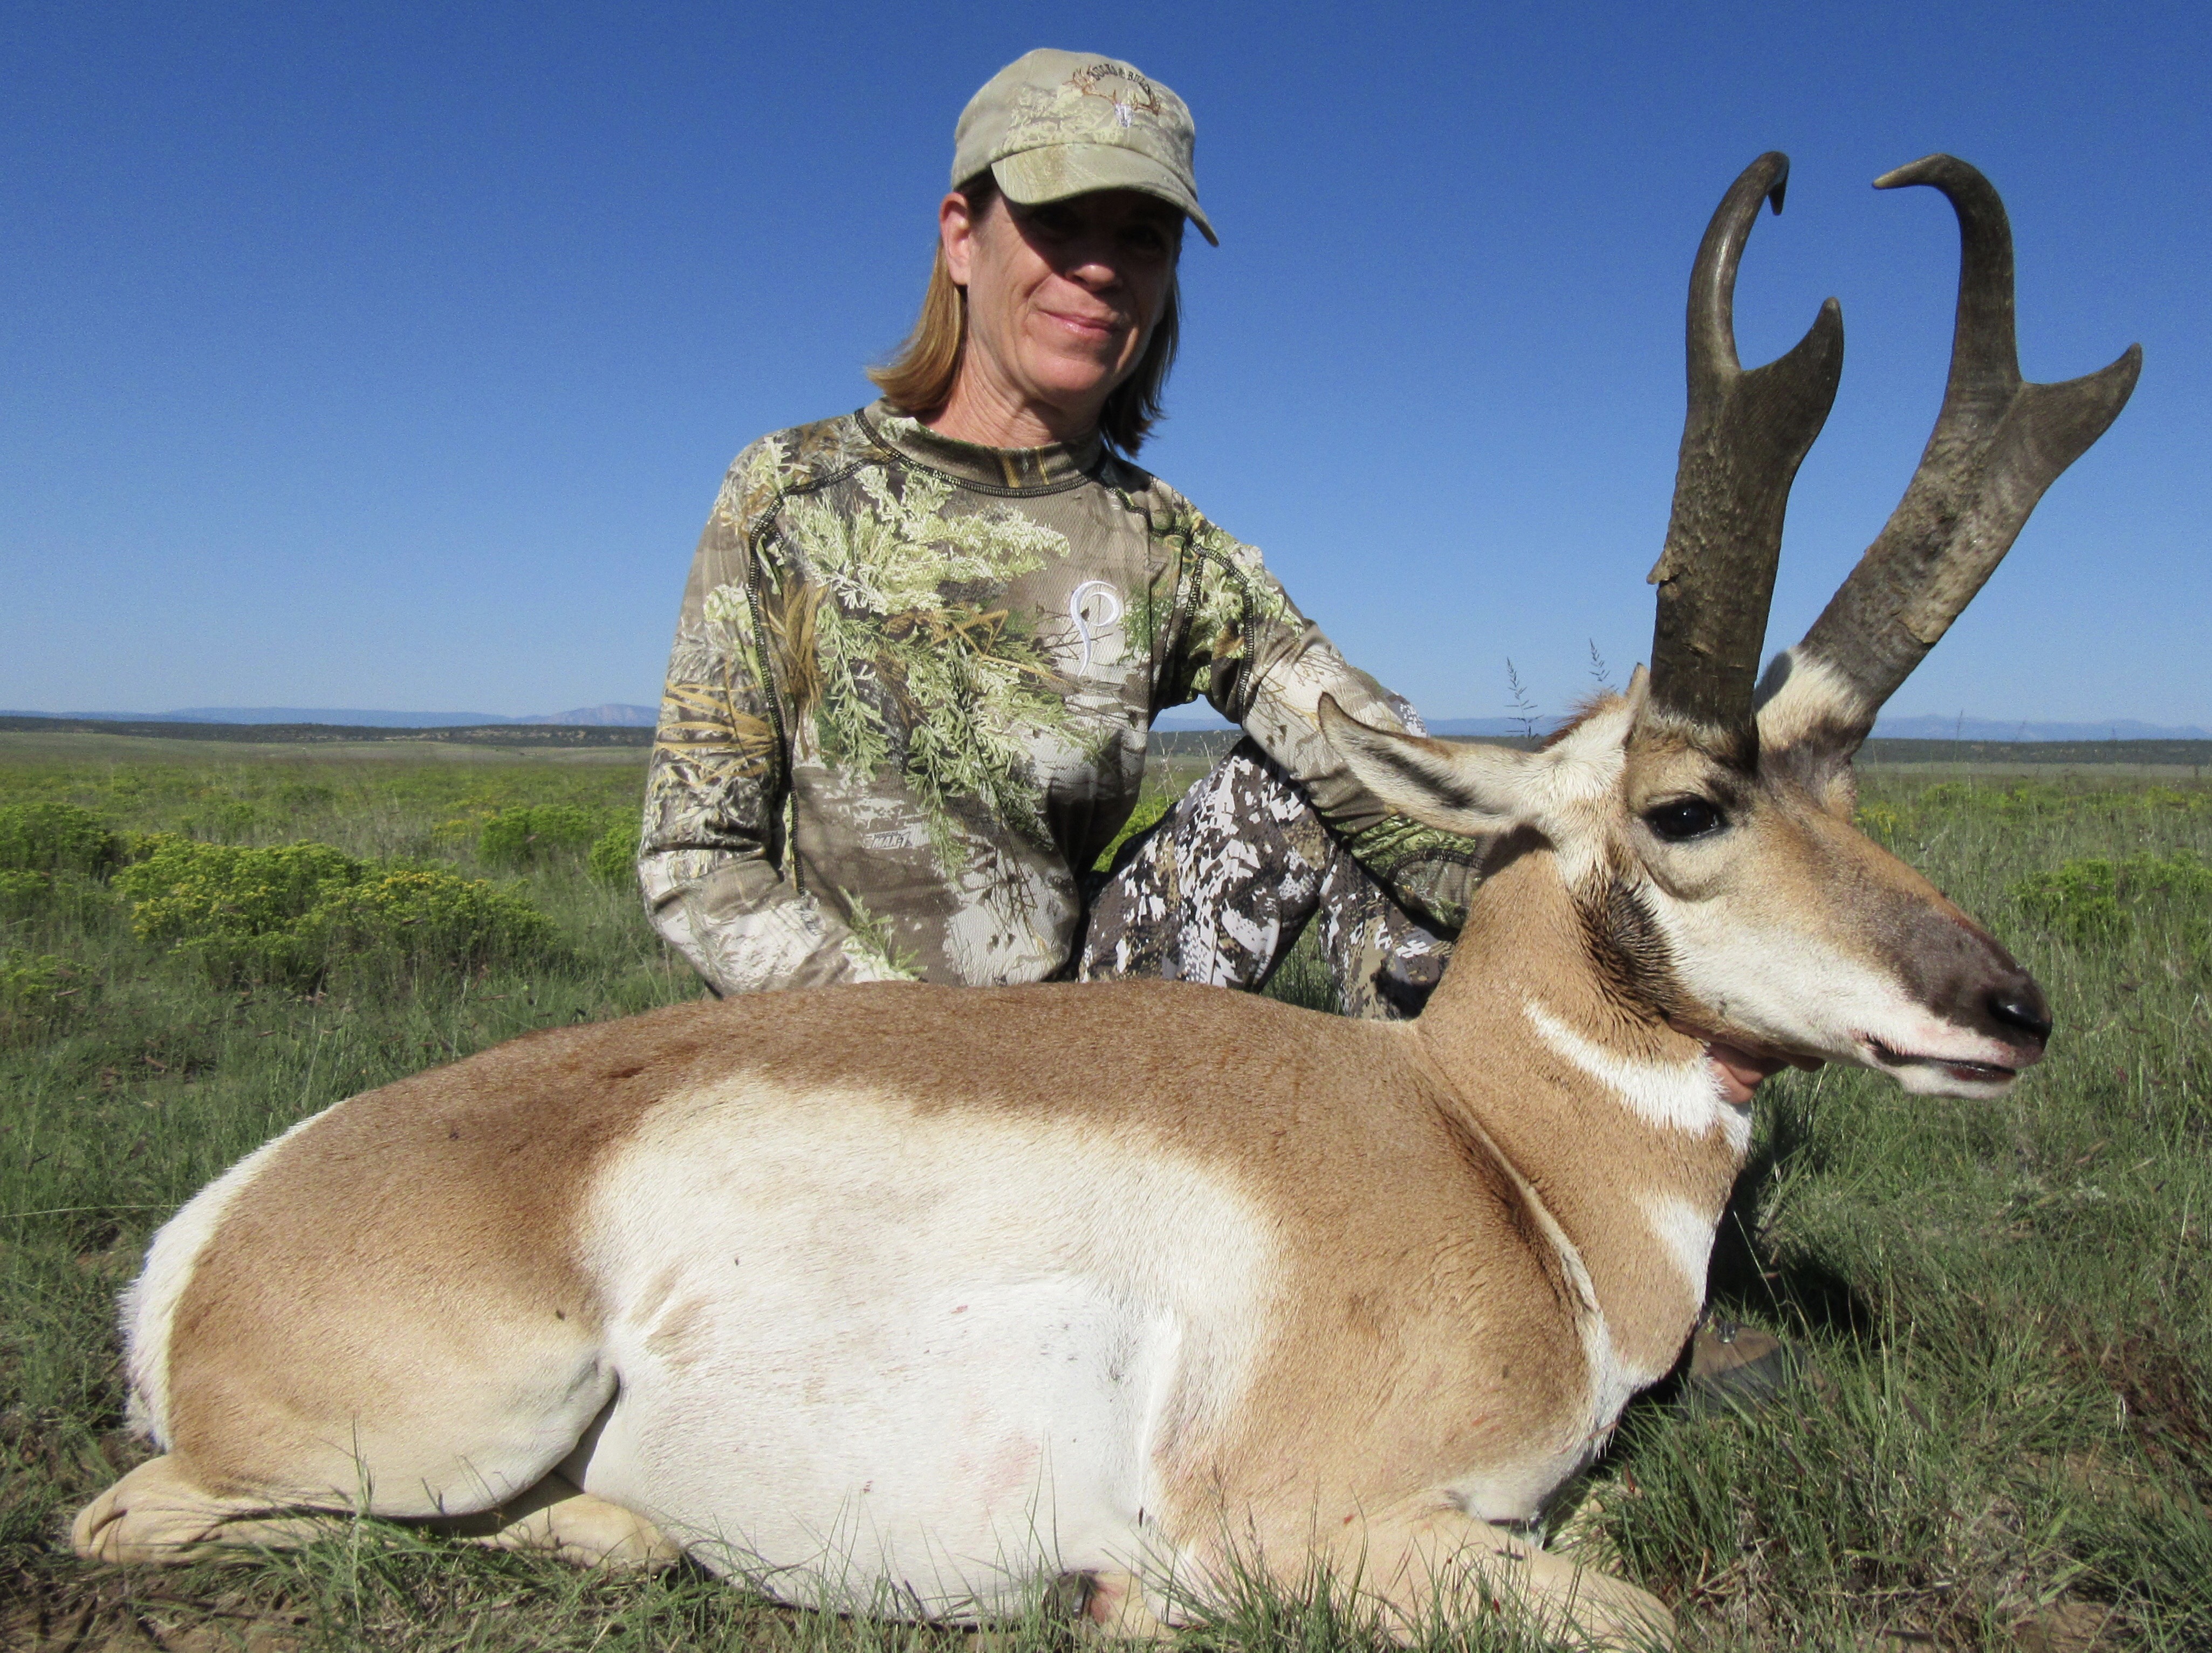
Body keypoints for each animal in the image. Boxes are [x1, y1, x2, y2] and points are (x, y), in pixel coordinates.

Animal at [72, 155, 2135, 1649]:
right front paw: (1125, 1593)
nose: (2009, 1008)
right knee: (138, 1515)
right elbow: (1643, 1608)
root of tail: (218, 1219)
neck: (1489, 1147)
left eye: (1852, 785)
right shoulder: (1327, 1518)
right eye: (1689, 805)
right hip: (463, 1416)